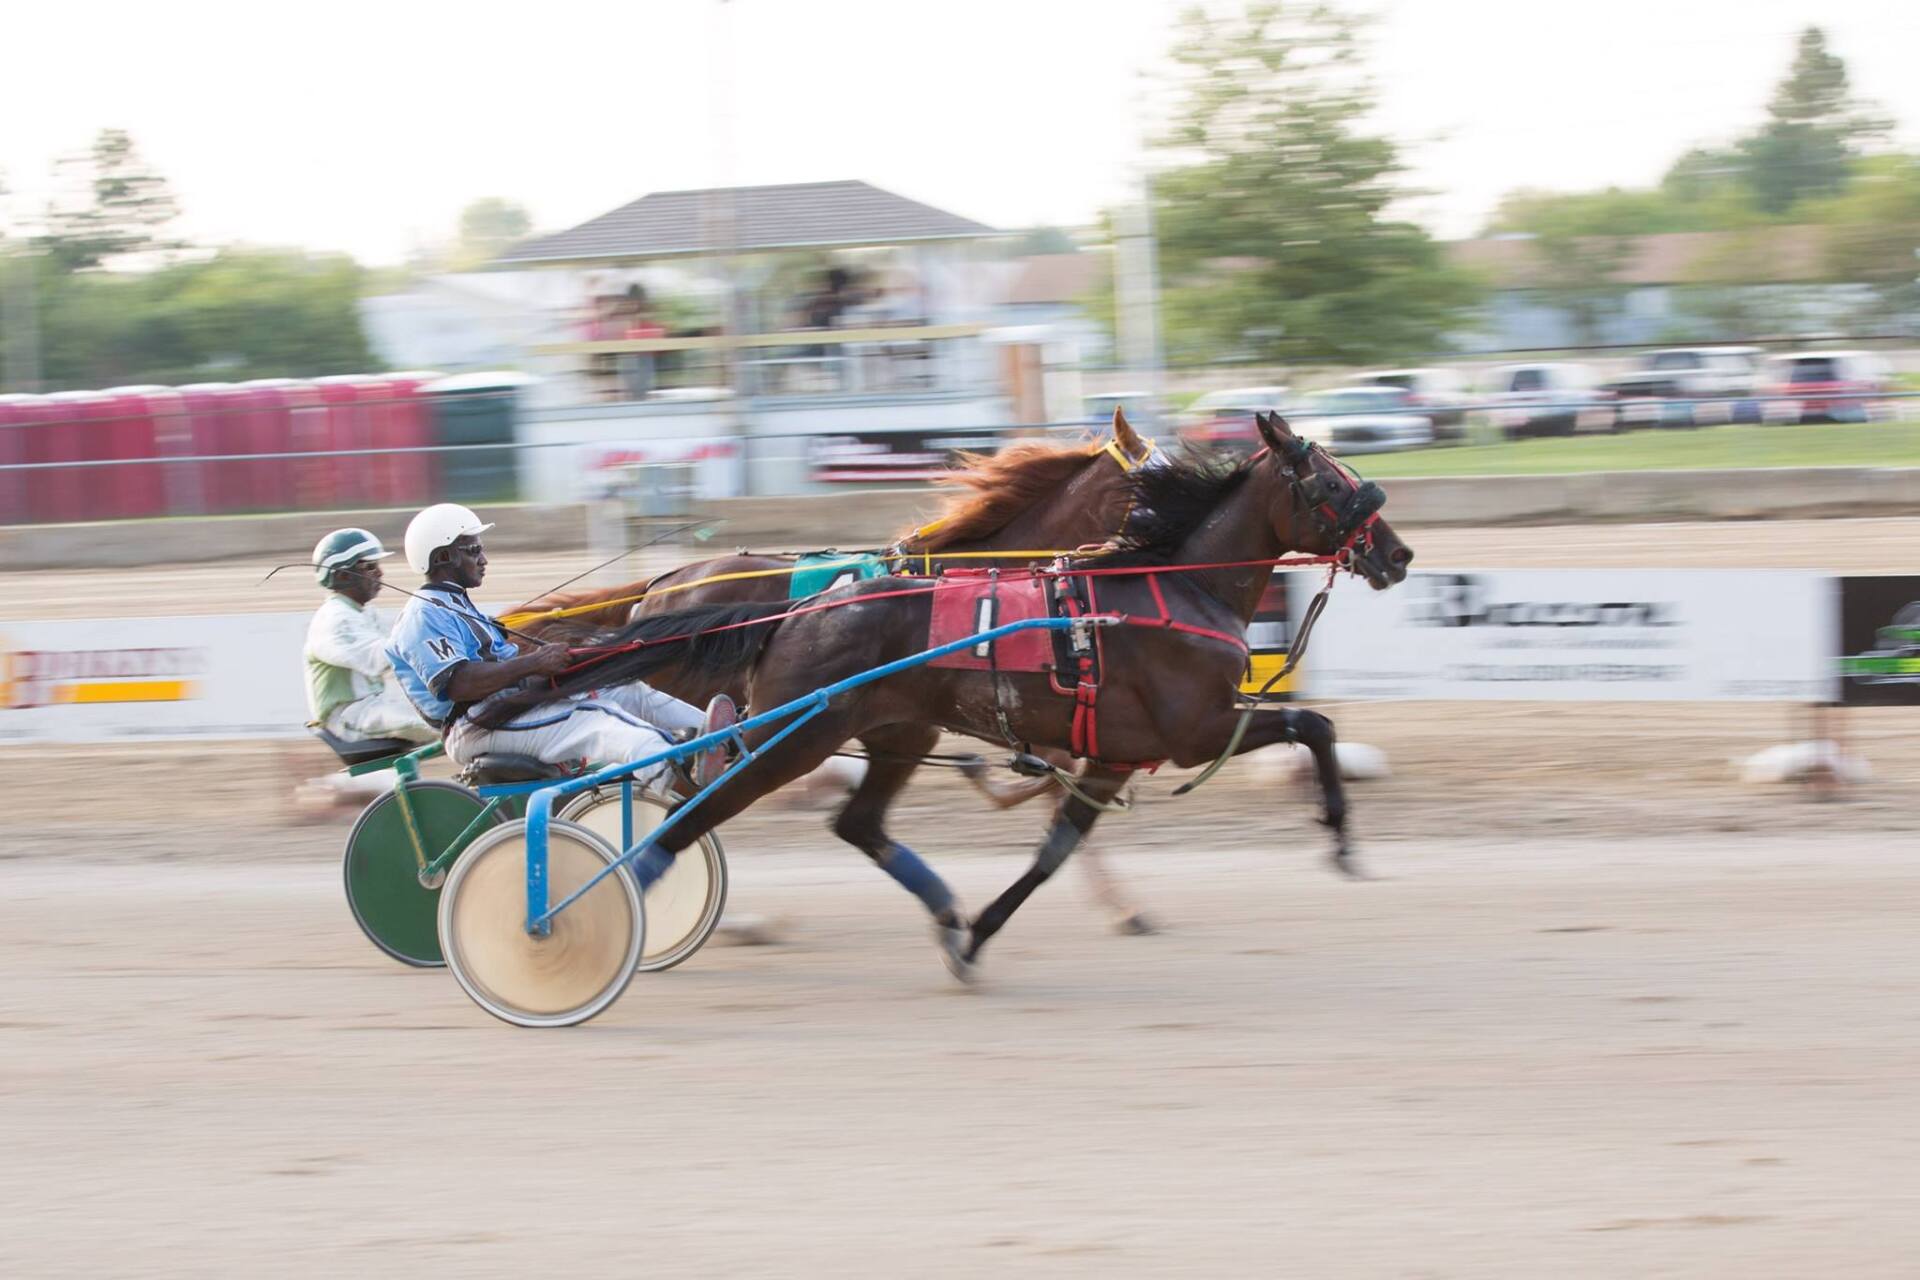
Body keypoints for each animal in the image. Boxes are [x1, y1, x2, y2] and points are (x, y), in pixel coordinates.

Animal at [482, 412, 1412, 977]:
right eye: (1333, 483)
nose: (1398, 552)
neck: (1164, 588)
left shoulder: (1111, 750)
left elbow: (1055, 846)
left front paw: (990, 931)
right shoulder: (1194, 730)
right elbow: (1313, 721)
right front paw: (1339, 838)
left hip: (895, 732)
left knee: (844, 821)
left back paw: (934, 909)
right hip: (797, 735)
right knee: (695, 803)